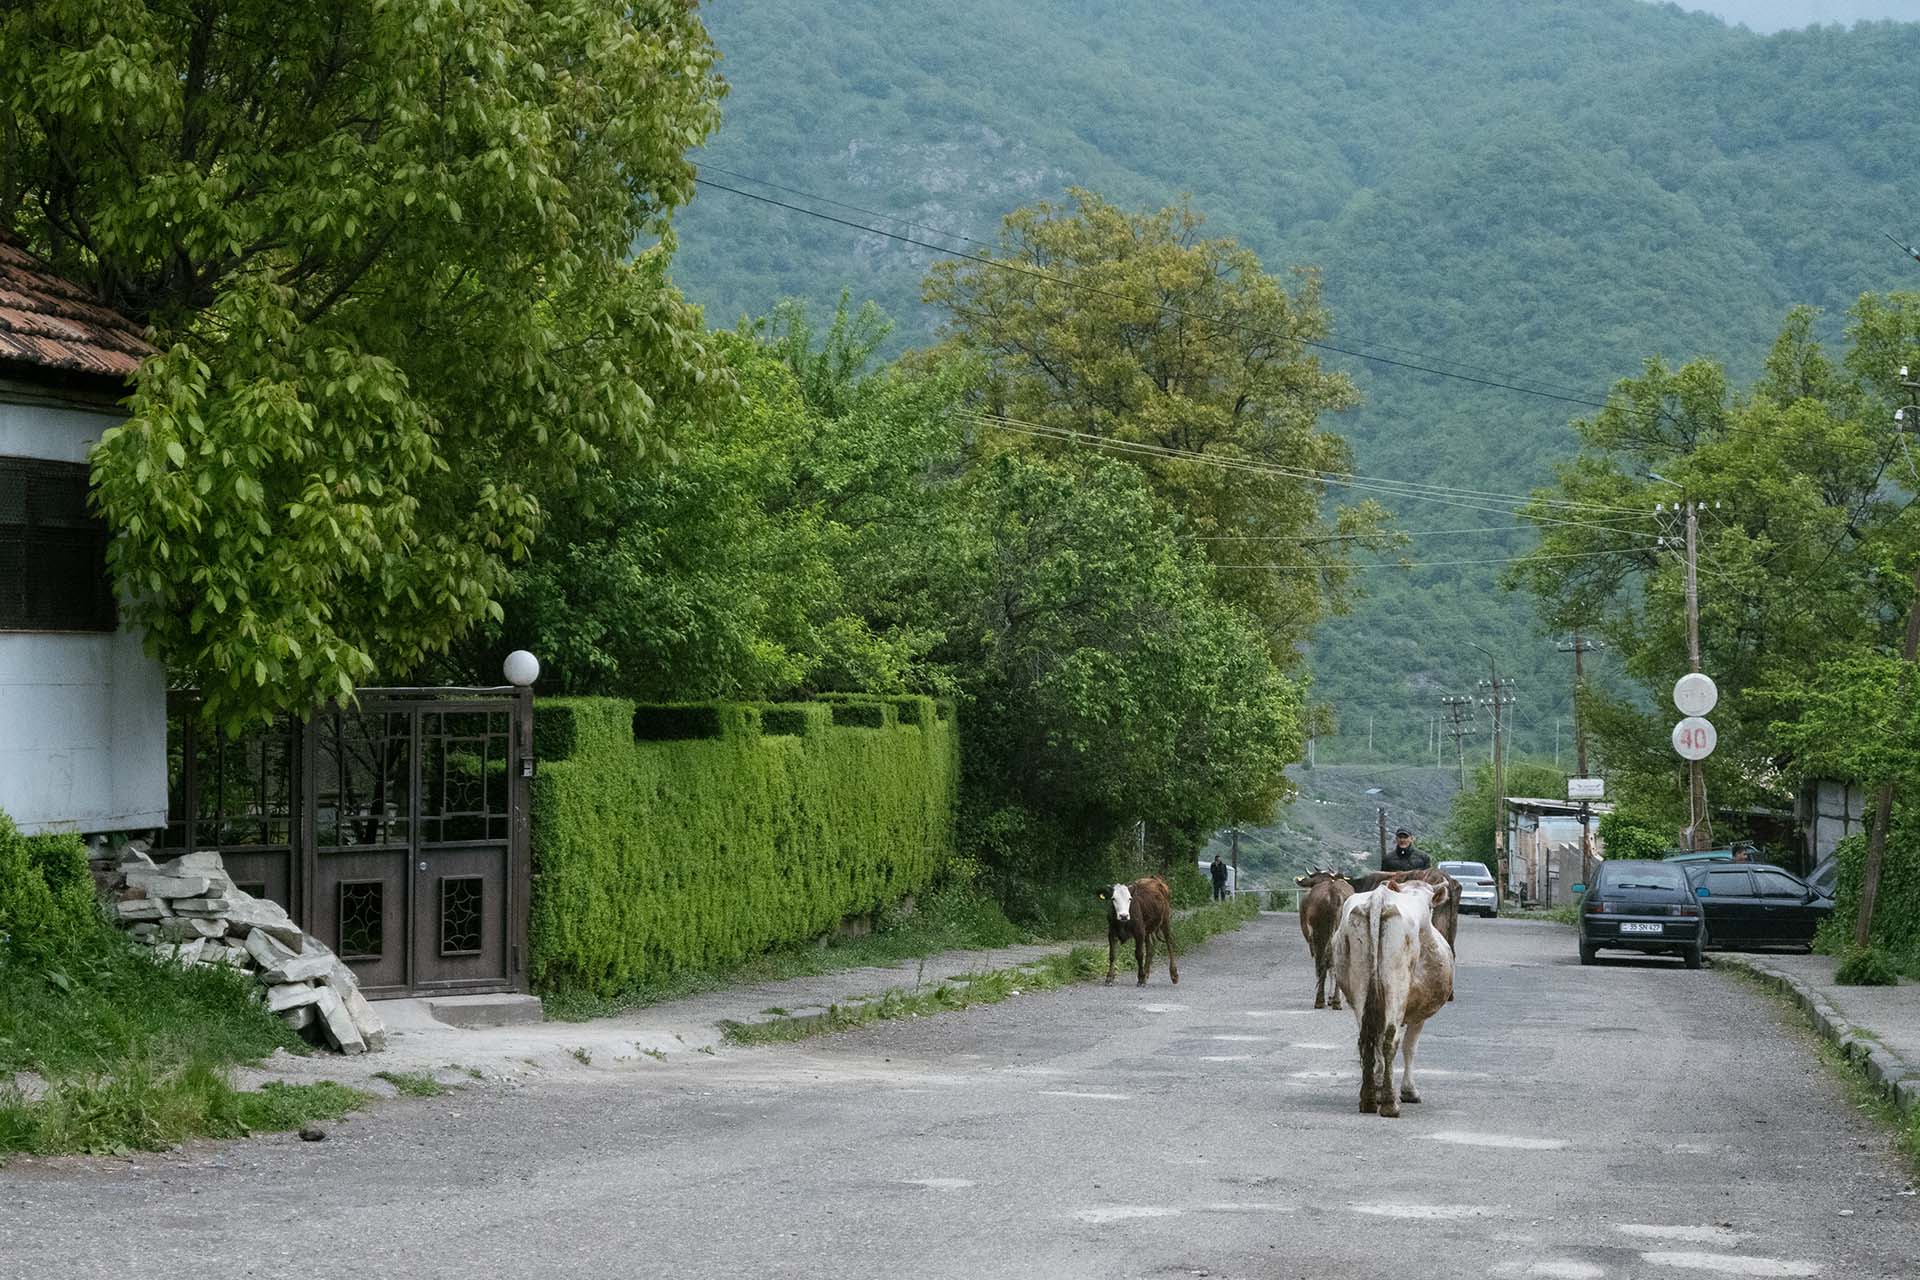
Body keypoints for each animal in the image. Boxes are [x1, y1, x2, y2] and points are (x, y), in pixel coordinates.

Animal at [1290, 871, 1351, 1013]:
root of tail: (1334, 894)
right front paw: (1331, 998)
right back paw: (1337, 1001)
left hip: (1319, 936)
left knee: (1321, 964)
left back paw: (1320, 1001)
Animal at [1336, 875, 1451, 1113]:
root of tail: (1379, 898)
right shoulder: (1419, 1013)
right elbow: (1410, 1047)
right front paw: (1409, 1091)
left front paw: (1379, 1086)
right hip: (1396, 984)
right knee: (1390, 1040)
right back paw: (1389, 1103)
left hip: (1360, 984)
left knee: (1368, 1039)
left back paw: (1369, 1099)